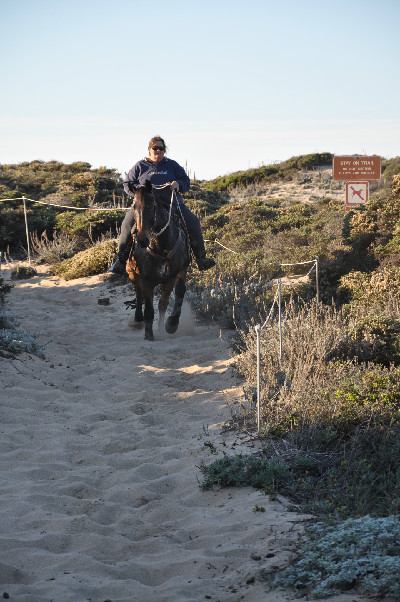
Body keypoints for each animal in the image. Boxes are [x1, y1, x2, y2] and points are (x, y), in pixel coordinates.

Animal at [127, 178, 191, 340]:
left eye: (151, 205)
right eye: (134, 206)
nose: (142, 240)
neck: (161, 247)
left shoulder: (174, 275)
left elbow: (168, 300)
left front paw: (170, 325)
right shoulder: (146, 279)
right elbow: (149, 309)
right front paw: (149, 335)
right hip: (132, 273)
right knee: (138, 294)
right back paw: (138, 318)